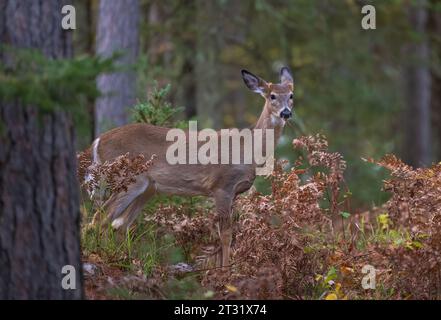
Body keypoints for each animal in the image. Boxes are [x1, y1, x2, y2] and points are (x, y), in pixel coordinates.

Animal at [81, 67, 296, 268]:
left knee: (119, 224)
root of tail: (97, 142)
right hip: (129, 179)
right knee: (100, 219)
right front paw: (225, 271)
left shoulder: (234, 192)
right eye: (272, 95)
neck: (248, 149)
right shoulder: (222, 186)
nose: (286, 112)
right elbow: (226, 235)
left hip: (148, 188)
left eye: (291, 95)